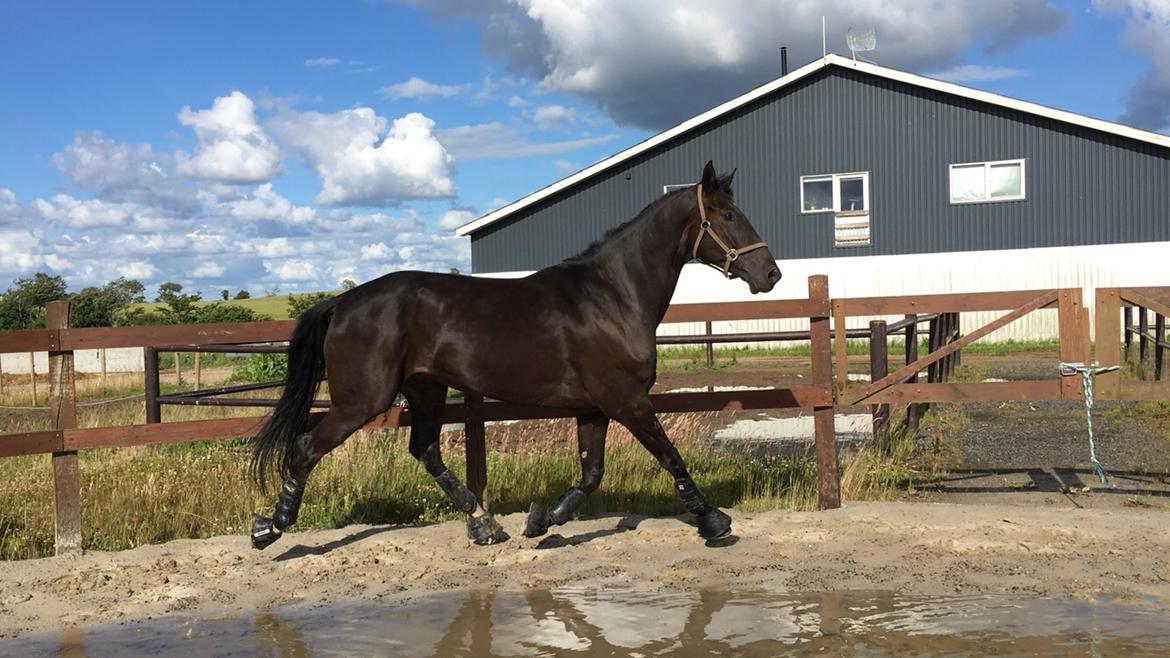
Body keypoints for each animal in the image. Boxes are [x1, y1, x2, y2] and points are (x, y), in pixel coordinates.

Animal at [251, 160, 781, 547]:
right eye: (728, 216)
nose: (771, 274)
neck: (611, 296)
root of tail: (343, 302)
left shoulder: (594, 406)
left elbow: (591, 474)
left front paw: (542, 520)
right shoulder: (627, 400)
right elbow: (670, 457)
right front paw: (714, 522)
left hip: (426, 390)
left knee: (425, 450)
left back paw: (485, 525)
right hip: (363, 399)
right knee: (306, 447)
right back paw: (270, 528)